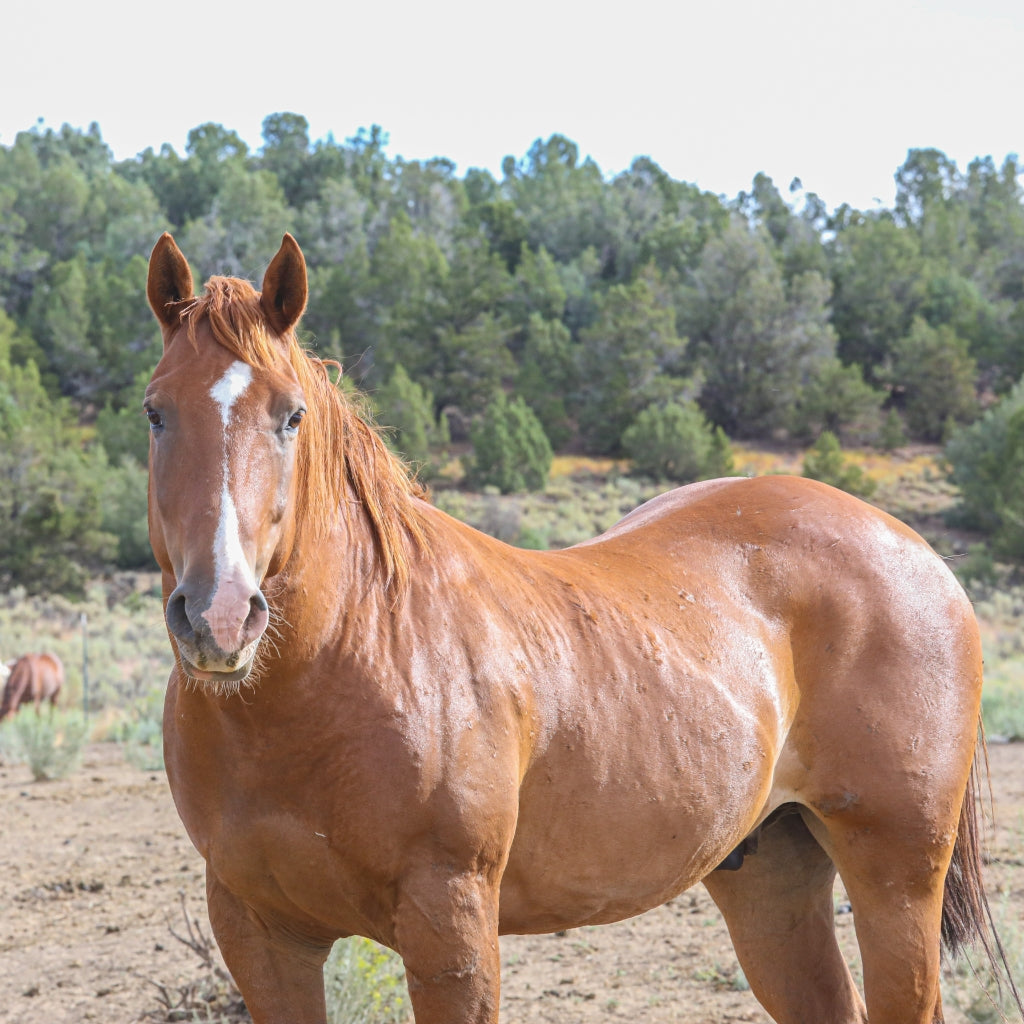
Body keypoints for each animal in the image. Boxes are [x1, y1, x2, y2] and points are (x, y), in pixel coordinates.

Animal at [142, 232, 1015, 1024]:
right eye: (155, 413)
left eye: (290, 415)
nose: (220, 615)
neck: (347, 662)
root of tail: (914, 550)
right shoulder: (260, 935)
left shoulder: (451, 928)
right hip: (770, 872)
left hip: (896, 877)